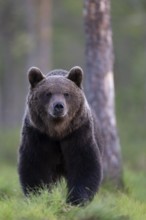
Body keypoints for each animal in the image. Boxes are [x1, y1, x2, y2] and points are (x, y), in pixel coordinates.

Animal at [18, 66, 102, 205]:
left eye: (66, 93)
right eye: (48, 93)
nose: (58, 106)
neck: (58, 131)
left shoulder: (77, 133)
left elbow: (84, 164)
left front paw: (77, 199)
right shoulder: (38, 135)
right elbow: (35, 164)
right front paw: (39, 196)